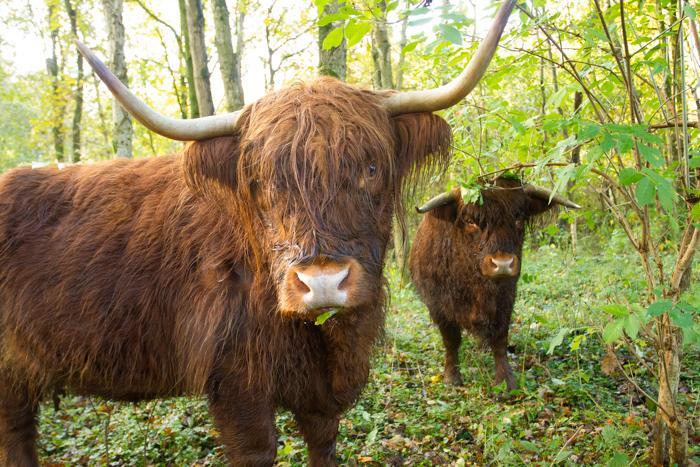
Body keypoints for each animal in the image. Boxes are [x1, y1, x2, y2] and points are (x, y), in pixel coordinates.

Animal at [0, 1, 516, 466]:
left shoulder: (321, 391)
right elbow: (258, 449)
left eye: (371, 168)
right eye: (261, 180)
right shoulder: (236, 385)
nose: (322, 282)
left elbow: (323, 444)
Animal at [408, 177, 576, 394]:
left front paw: (506, 382)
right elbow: (451, 341)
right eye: (470, 221)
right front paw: (452, 377)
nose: (502, 264)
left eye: (518, 217)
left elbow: (499, 339)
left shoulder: (505, 299)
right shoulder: (438, 306)